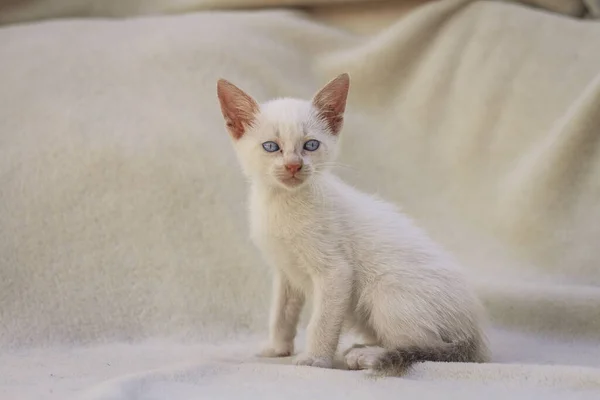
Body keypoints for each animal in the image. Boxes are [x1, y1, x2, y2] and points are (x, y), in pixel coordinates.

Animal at [218, 72, 490, 376]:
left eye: (310, 145)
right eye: (271, 147)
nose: (293, 166)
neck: (282, 203)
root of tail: (474, 335)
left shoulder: (335, 272)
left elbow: (321, 321)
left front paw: (315, 360)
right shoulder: (285, 272)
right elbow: (281, 314)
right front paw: (277, 349)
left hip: (385, 292)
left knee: (428, 348)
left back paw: (368, 355)